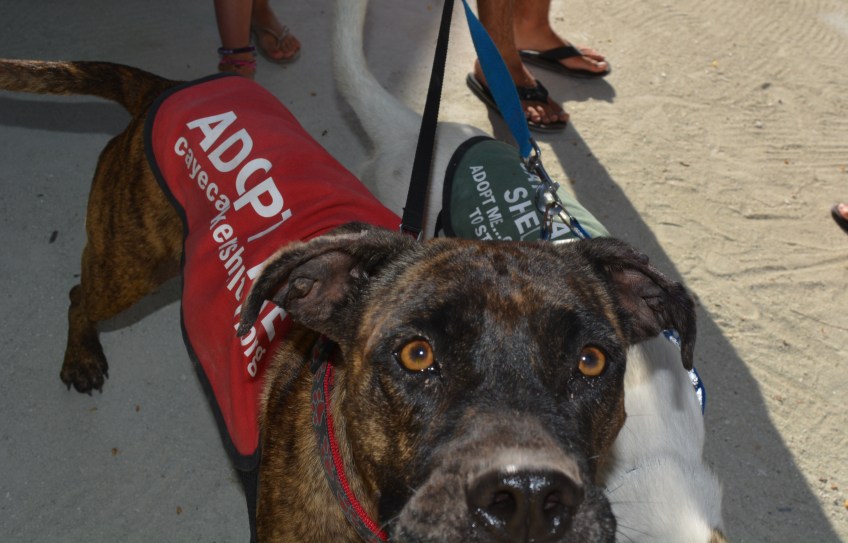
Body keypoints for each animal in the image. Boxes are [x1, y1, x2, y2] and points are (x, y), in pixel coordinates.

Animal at [1, 58, 694, 543]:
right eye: (416, 355)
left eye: (591, 361)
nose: (526, 495)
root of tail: (169, 87)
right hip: (131, 263)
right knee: (79, 292)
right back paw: (81, 356)